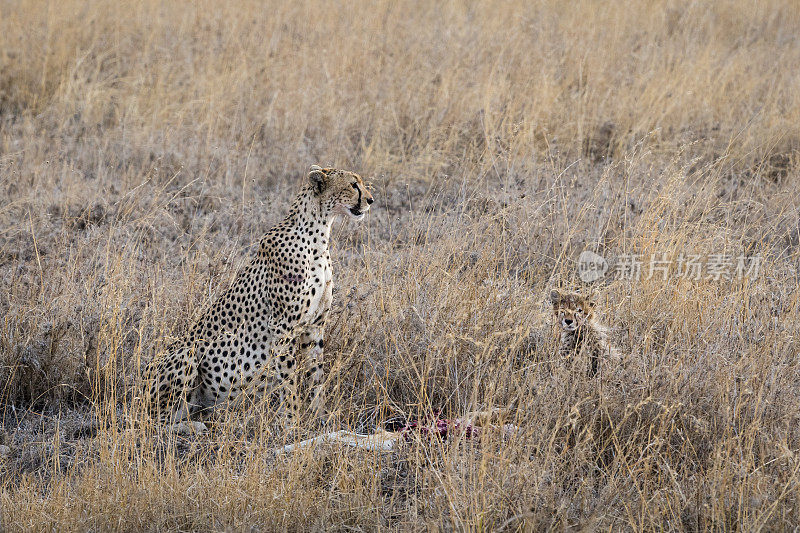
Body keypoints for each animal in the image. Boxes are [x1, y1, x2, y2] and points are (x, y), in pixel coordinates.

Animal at [147, 164, 376, 426]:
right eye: (353, 185)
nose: (370, 200)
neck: (318, 235)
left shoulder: (315, 326)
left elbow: (316, 377)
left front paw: (320, 418)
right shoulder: (282, 327)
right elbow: (289, 381)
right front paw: (292, 423)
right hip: (186, 354)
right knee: (155, 421)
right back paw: (195, 427)